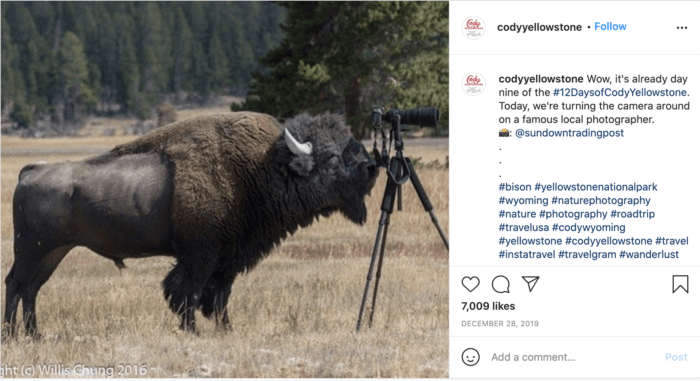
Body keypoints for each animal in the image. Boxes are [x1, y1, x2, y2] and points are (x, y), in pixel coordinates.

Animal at [2, 111, 380, 336]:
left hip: (54, 252)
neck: (258, 169)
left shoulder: (228, 259)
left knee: (32, 289)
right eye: (331, 157)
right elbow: (190, 291)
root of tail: (30, 171)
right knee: (16, 284)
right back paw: (12, 335)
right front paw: (193, 330)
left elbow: (220, 296)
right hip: (32, 250)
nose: (372, 168)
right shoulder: (200, 254)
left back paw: (35, 335)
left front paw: (226, 330)